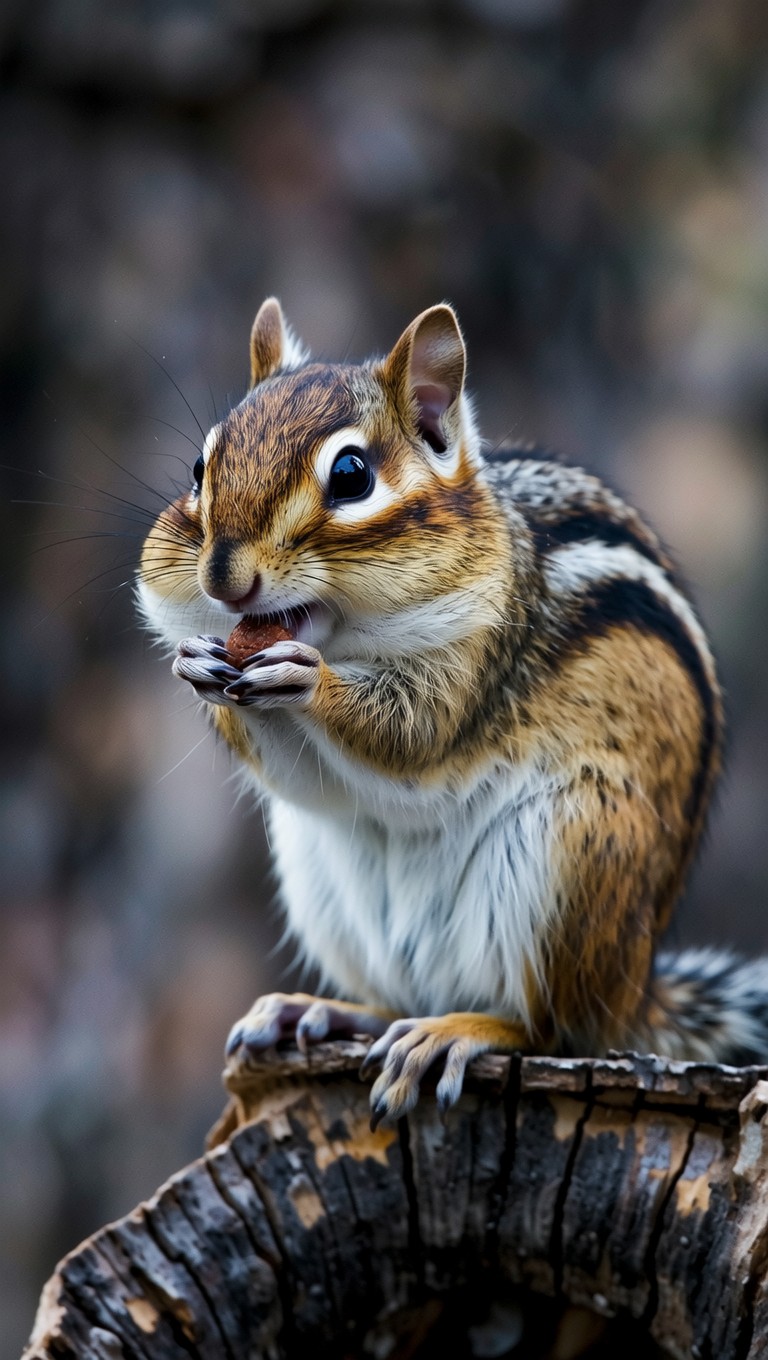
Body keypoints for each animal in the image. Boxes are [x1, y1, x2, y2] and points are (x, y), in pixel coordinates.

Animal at [138, 297, 768, 1128]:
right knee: (402, 997)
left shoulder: (479, 661)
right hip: (322, 882)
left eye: (351, 475)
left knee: (549, 1026)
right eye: (199, 469)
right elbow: (299, 772)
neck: (352, 634)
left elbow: (413, 737)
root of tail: (634, 994)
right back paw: (326, 1011)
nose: (222, 578)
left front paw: (310, 681)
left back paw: (456, 1033)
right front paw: (197, 665)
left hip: (573, 861)